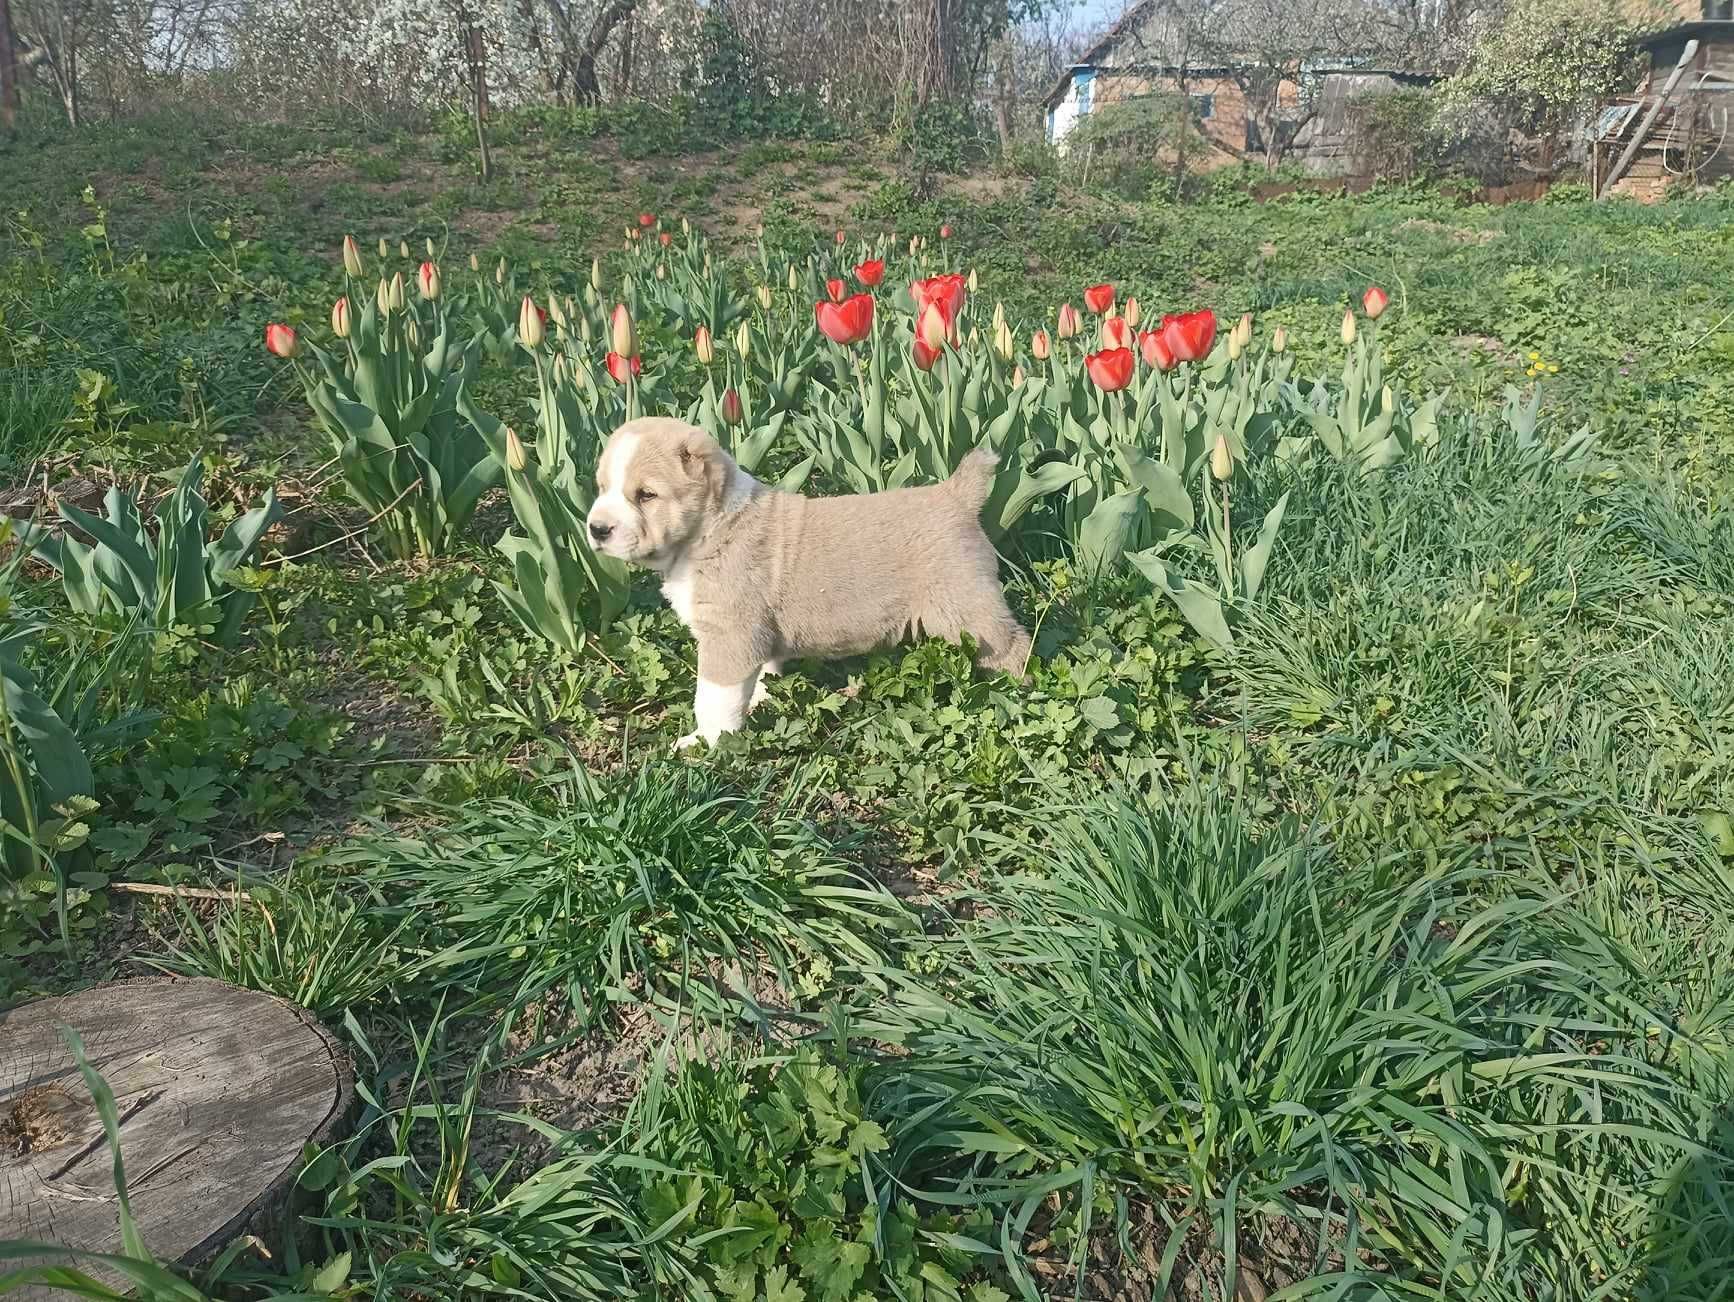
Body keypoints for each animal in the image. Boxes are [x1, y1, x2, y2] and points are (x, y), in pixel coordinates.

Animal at [589, 412, 1033, 748]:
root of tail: (955, 494)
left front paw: (705, 743)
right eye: (602, 487)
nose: (596, 528)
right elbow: (756, 681)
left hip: (967, 610)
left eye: (646, 495)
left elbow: (713, 699)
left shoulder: (728, 637)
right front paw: (759, 704)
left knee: (1013, 645)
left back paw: (1021, 693)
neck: (711, 527)